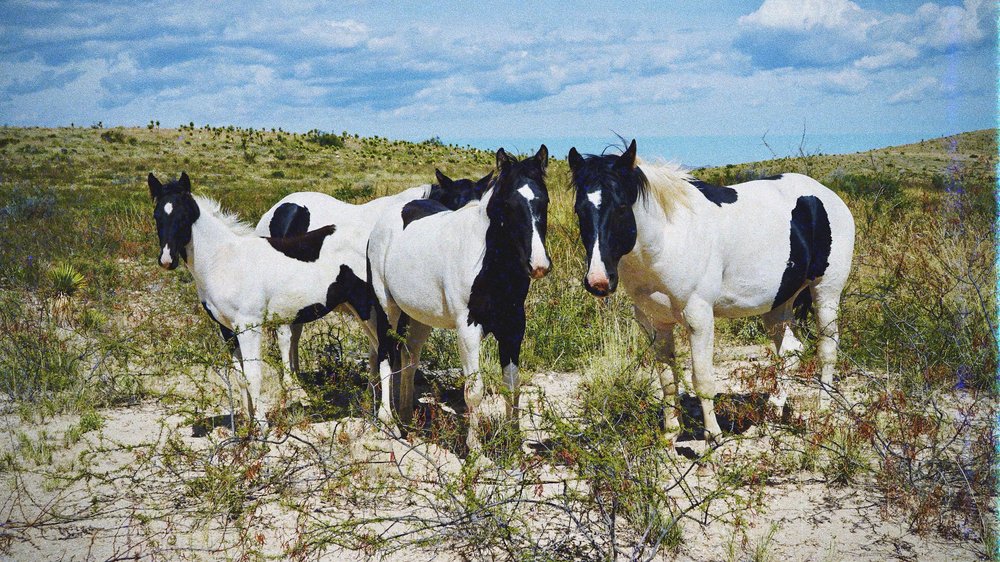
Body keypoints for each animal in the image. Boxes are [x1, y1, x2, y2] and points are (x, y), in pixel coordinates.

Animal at [148, 172, 363, 421]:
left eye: (184, 216)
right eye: (156, 215)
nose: (167, 260)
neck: (224, 260)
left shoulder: (249, 326)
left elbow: (253, 375)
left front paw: (262, 425)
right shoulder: (227, 329)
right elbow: (240, 377)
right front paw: (247, 423)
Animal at [367, 146, 551, 452]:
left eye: (544, 201)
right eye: (508, 204)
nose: (538, 265)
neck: (489, 260)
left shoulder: (513, 327)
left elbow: (512, 383)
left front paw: (514, 440)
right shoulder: (468, 328)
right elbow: (474, 390)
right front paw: (475, 449)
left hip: (419, 316)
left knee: (409, 356)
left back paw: (406, 417)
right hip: (388, 309)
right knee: (385, 354)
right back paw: (388, 421)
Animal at [567, 140, 855, 443]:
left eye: (622, 207)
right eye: (579, 210)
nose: (598, 281)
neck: (669, 238)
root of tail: (827, 196)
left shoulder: (699, 316)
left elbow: (702, 378)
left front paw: (712, 438)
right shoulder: (656, 322)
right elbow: (667, 379)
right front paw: (671, 434)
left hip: (826, 292)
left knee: (826, 350)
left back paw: (823, 410)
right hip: (779, 302)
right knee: (790, 351)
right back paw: (772, 416)